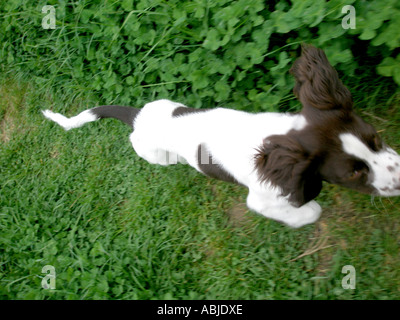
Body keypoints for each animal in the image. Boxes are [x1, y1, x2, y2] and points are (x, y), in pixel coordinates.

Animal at [41, 45, 400, 230]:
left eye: (376, 139)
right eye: (354, 172)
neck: (282, 142)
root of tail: (138, 115)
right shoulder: (261, 198)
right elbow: (311, 210)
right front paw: (308, 208)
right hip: (154, 154)